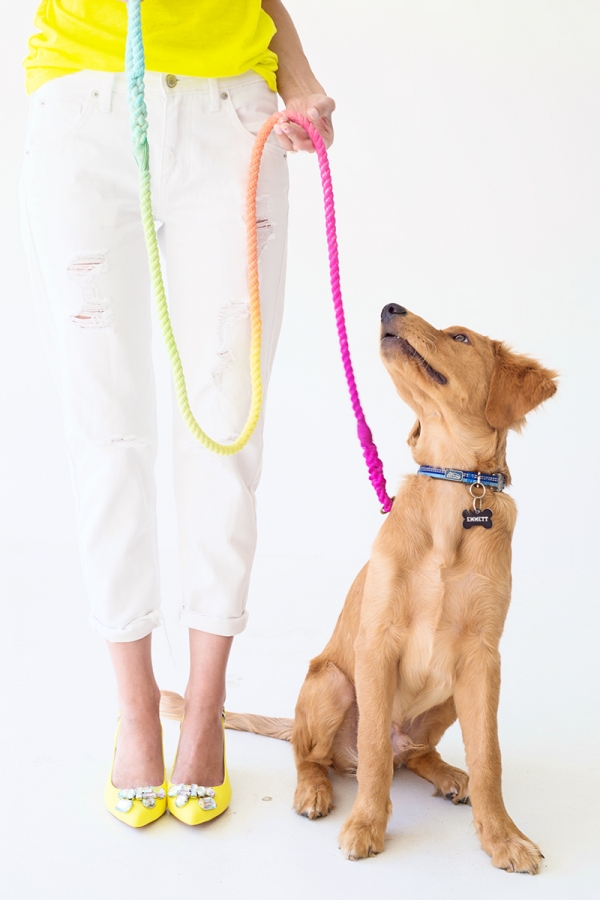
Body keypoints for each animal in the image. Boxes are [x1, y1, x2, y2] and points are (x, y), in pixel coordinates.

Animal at [292, 304, 556, 872]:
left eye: (460, 338)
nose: (390, 307)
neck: (454, 490)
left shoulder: (482, 658)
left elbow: (489, 756)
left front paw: (503, 837)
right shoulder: (376, 642)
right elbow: (372, 750)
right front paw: (366, 824)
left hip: (451, 696)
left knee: (413, 754)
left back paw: (450, 776)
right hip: (333, 681)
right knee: (315, 755)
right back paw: (314, 790)